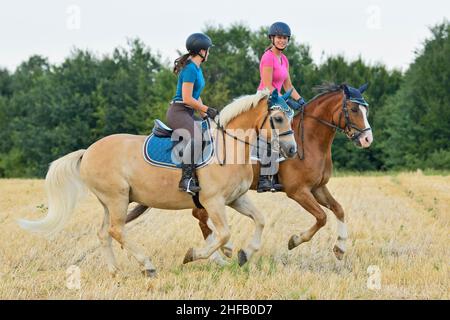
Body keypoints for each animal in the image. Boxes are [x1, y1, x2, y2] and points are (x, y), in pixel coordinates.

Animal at [18, 89, 298, 276]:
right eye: (279, 119)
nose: (292, 150)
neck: (230, 146)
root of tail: (88, 152)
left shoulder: (236, 199)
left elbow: (260, 220)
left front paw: (244, 254)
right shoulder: (213, 202)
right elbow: (224, 234)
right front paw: (193, 255)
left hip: (111, 202)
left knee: (104, 233)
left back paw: (115, 271)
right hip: (117, 198)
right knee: (116, 230)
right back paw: (147, 265)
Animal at [125, 82, 372, 264]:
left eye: (365, 109)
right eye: (353, 109)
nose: (367, 139)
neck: (308, 141)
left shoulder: (318, 187)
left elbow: (338, 209)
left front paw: (340, 248)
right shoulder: (298, 191)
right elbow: (321, 217)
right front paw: (295, 240)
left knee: (200, 217)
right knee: (201, 218)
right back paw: (220, 252)